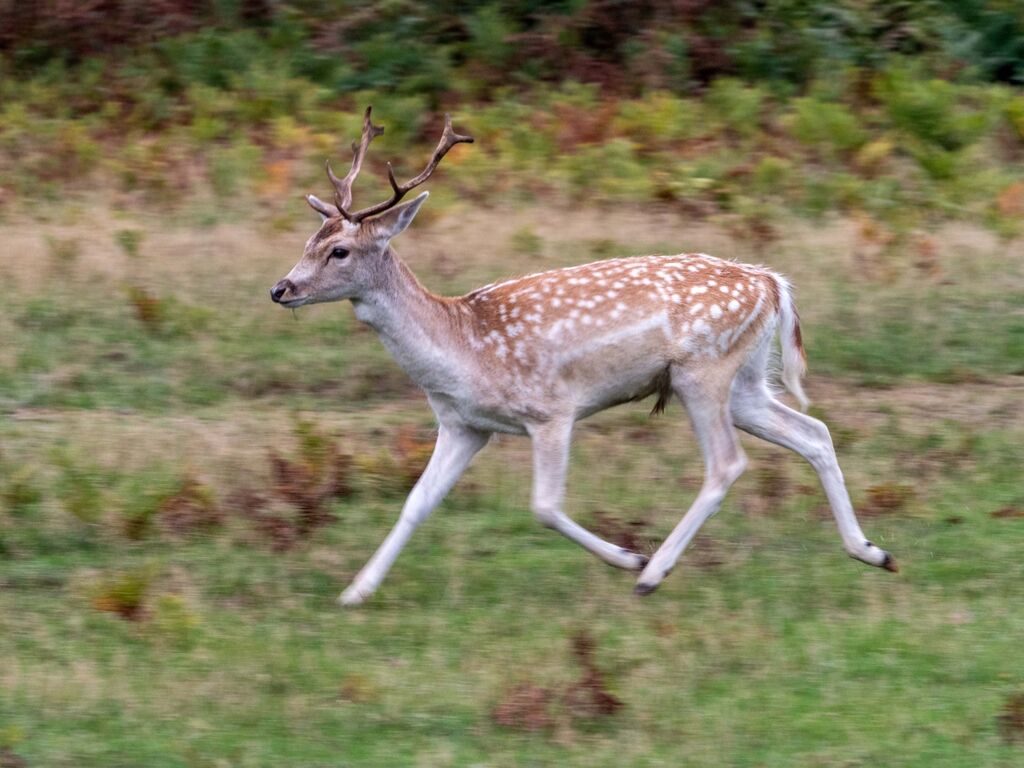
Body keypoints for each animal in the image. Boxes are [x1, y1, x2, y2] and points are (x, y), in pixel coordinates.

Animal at [270, 107, 898, 606]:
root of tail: (772, 283)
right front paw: (355, 592)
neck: (462, 349)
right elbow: (416, 503)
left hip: (703, 371)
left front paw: (629, 557)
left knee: (727, 462)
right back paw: (873, 552)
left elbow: (545, 506)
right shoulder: (464, 424)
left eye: (339, 250)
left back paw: (653, 574)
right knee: (814, 431)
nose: (281, 288)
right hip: (744, 380)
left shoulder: (550, 411)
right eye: (307, 242)